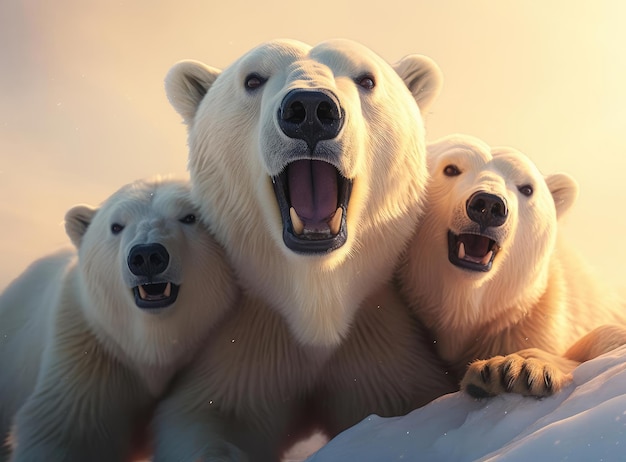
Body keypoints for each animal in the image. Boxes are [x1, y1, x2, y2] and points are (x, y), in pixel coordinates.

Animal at [0, 175, 236, 460]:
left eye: (190, 217)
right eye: (116, 226)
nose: (147, 256)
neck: (153, 348)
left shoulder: (223, 348)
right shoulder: (89, 351)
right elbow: (62, 430)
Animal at [152, 39, 454, 462]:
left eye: (367, 79)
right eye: (253, 79)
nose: (311, 110)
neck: (316, 299)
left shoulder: (382, 344)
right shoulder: (249, 345)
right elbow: (201, 417)